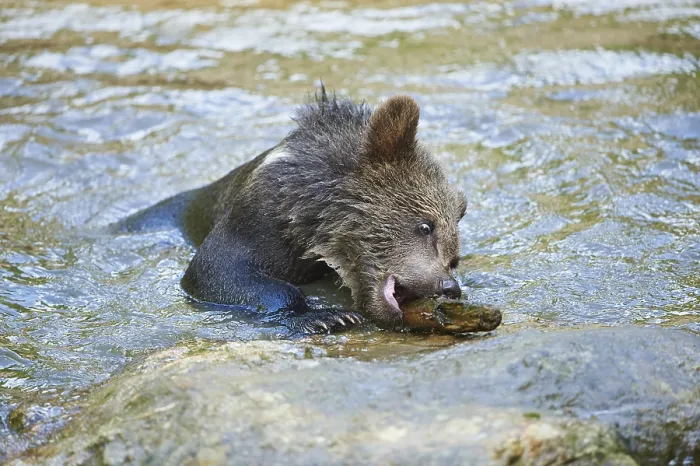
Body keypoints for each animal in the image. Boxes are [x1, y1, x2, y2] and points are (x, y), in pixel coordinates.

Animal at [121, 87, 467, 334]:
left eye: (454, 258)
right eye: (425, 226)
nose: (449, 286)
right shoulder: (258, 219)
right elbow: (216, 269)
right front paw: (328, 317)